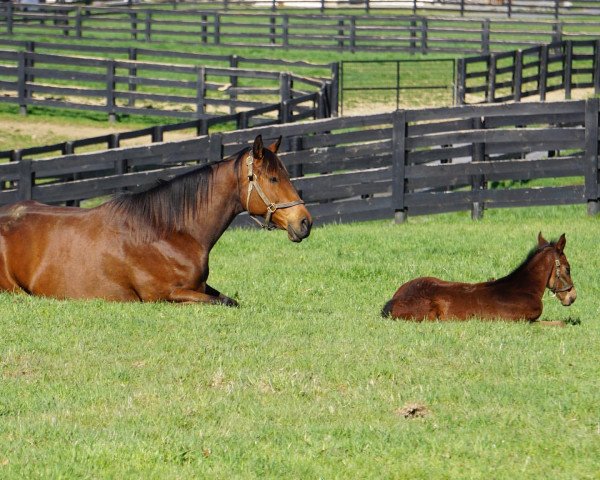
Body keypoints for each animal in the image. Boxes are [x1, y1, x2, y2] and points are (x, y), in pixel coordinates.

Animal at [0, 133, 310, 304]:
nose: (304, 222)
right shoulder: (165, 295)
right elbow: (222, 303)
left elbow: (228, 300)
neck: (167, 233)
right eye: (273, 178)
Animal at [384, 233, 576, 322]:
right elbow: (560, 323)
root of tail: (394, 300)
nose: (572, 296)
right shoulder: (522, 321)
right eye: (568, 268)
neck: (522, 289)